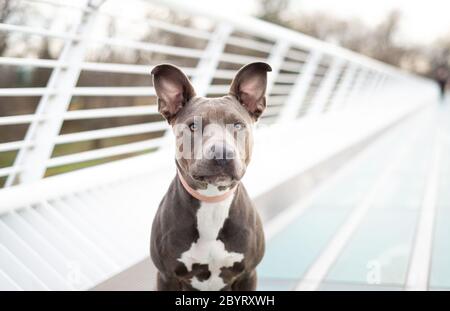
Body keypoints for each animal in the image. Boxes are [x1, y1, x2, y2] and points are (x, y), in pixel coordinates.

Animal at [150, 62, 270, 292]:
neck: (212, 202)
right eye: (193, 126)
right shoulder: (166, 276)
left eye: (238, 125)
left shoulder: (248, 274)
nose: (222, 153)